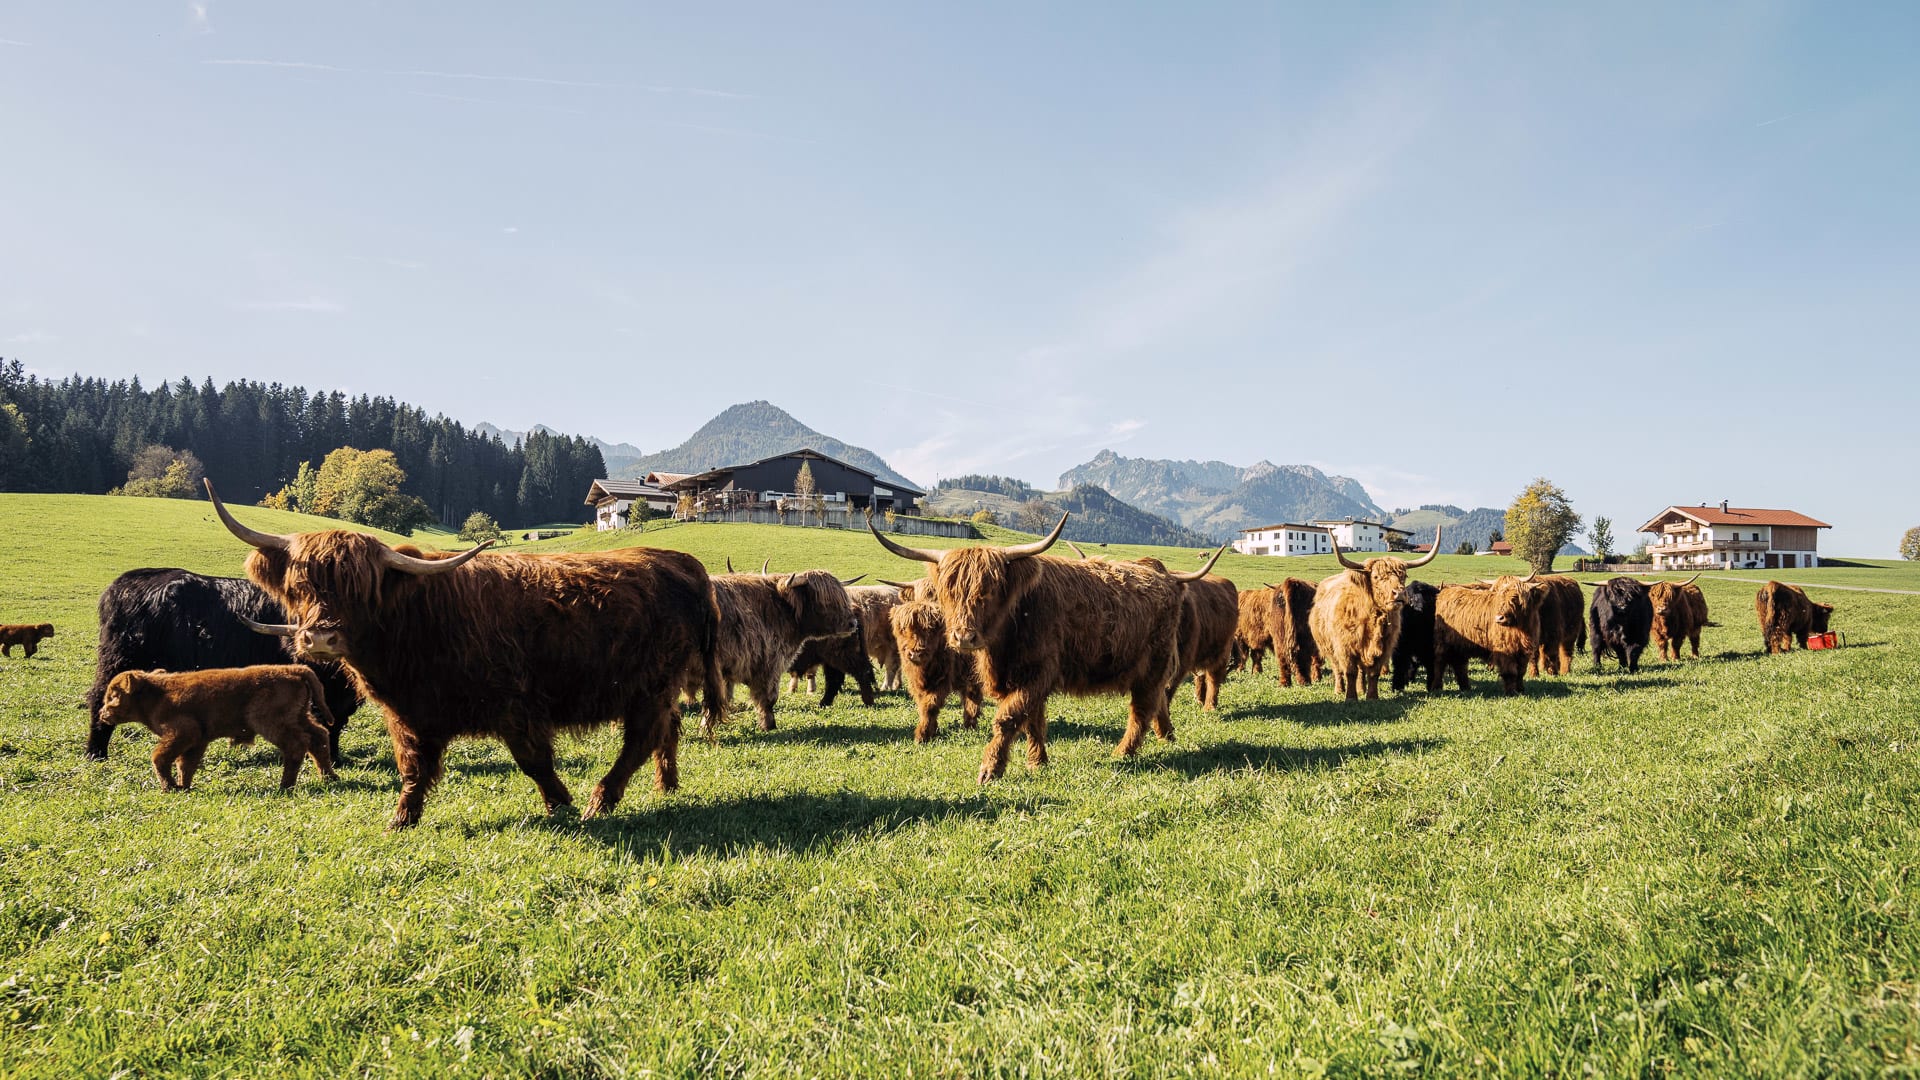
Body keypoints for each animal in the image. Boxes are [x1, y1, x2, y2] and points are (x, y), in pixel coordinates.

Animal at [85, 569, 362, 763]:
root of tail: (123, 583)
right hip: (117, 661)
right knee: (100, 700)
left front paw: (335, 757)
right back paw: (95, 753)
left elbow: (334, 722)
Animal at [96, 666, 339, 791]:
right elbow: (185, 764)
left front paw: (170, 787)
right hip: (299, 717)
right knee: (318, 736)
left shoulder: (183, 732)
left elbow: (160, 757)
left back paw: (285, 786)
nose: (102, 713)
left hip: (271, 723)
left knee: (297, 745)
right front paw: (184, 787)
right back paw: (329, 777)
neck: (157, 694)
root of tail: (294, 669)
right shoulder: (197, 740)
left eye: (113, 696)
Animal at [207, 480, 724, 829]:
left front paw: (561, 803)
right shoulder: (407, 714)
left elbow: (534, 760)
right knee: (667, 729)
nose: (319, 639)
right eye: (300, 586)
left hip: (650, 684)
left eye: (362, 588)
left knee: (642, 737)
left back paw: (602, 799)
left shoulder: (517, 706)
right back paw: (666, 784)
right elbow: (412, 767)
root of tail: (679, 562)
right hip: (657, 688)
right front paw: (402, 820)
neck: (415, 622)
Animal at [889, 598, 985, 742]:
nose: (915, 653)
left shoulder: (941, 680)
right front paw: (931, 730)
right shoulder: (916, 684)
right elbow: (923, 705)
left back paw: (970, 725)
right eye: (903, 628)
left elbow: (930, 706)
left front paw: (922, 735)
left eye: (930, 630)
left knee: (973, 697)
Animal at [1307, 529, 1441, 701]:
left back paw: (1361, 689)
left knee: (1361, 671)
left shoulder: (1384, 646)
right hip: (1328, 646)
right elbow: (1350, 671)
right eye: (1376, 577)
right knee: (1337, 668)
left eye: (1403, 576)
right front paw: (1350, 697)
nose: (1399, 593)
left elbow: (1373, 673)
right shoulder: (1345, 647)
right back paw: (1339, 689)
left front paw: (1371, 696)